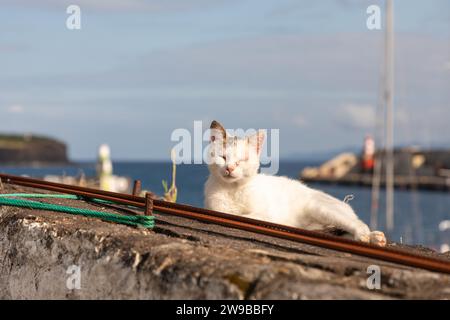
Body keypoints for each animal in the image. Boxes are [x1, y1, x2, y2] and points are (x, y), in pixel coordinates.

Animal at [205, 121, 386, 246]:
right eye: (223, 157)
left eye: (242, 160)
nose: (229, 167)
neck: (233, 189)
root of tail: (346, 205)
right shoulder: (216, 209)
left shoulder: (266, 215)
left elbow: (245, 215)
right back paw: (375, 238)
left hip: (320, 208)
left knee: (357, 224)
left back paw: (369, 237)